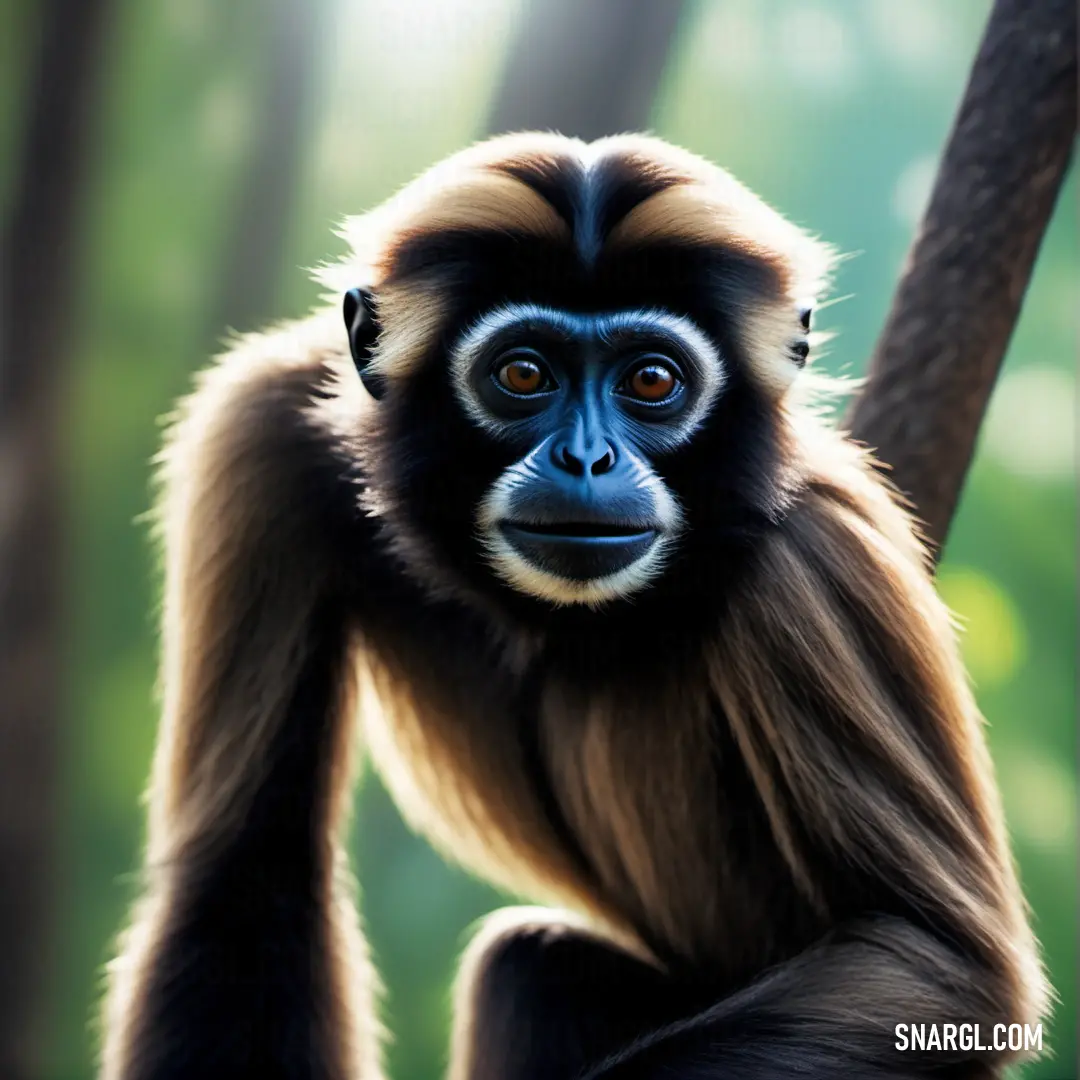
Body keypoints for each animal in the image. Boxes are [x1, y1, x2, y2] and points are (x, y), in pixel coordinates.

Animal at [99, 130, 1045, 1075]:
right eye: (523, 373)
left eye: (653, 382)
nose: (586, 458)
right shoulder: (269, 425)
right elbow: (241, 876)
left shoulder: (814, 556)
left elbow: (932, 960)